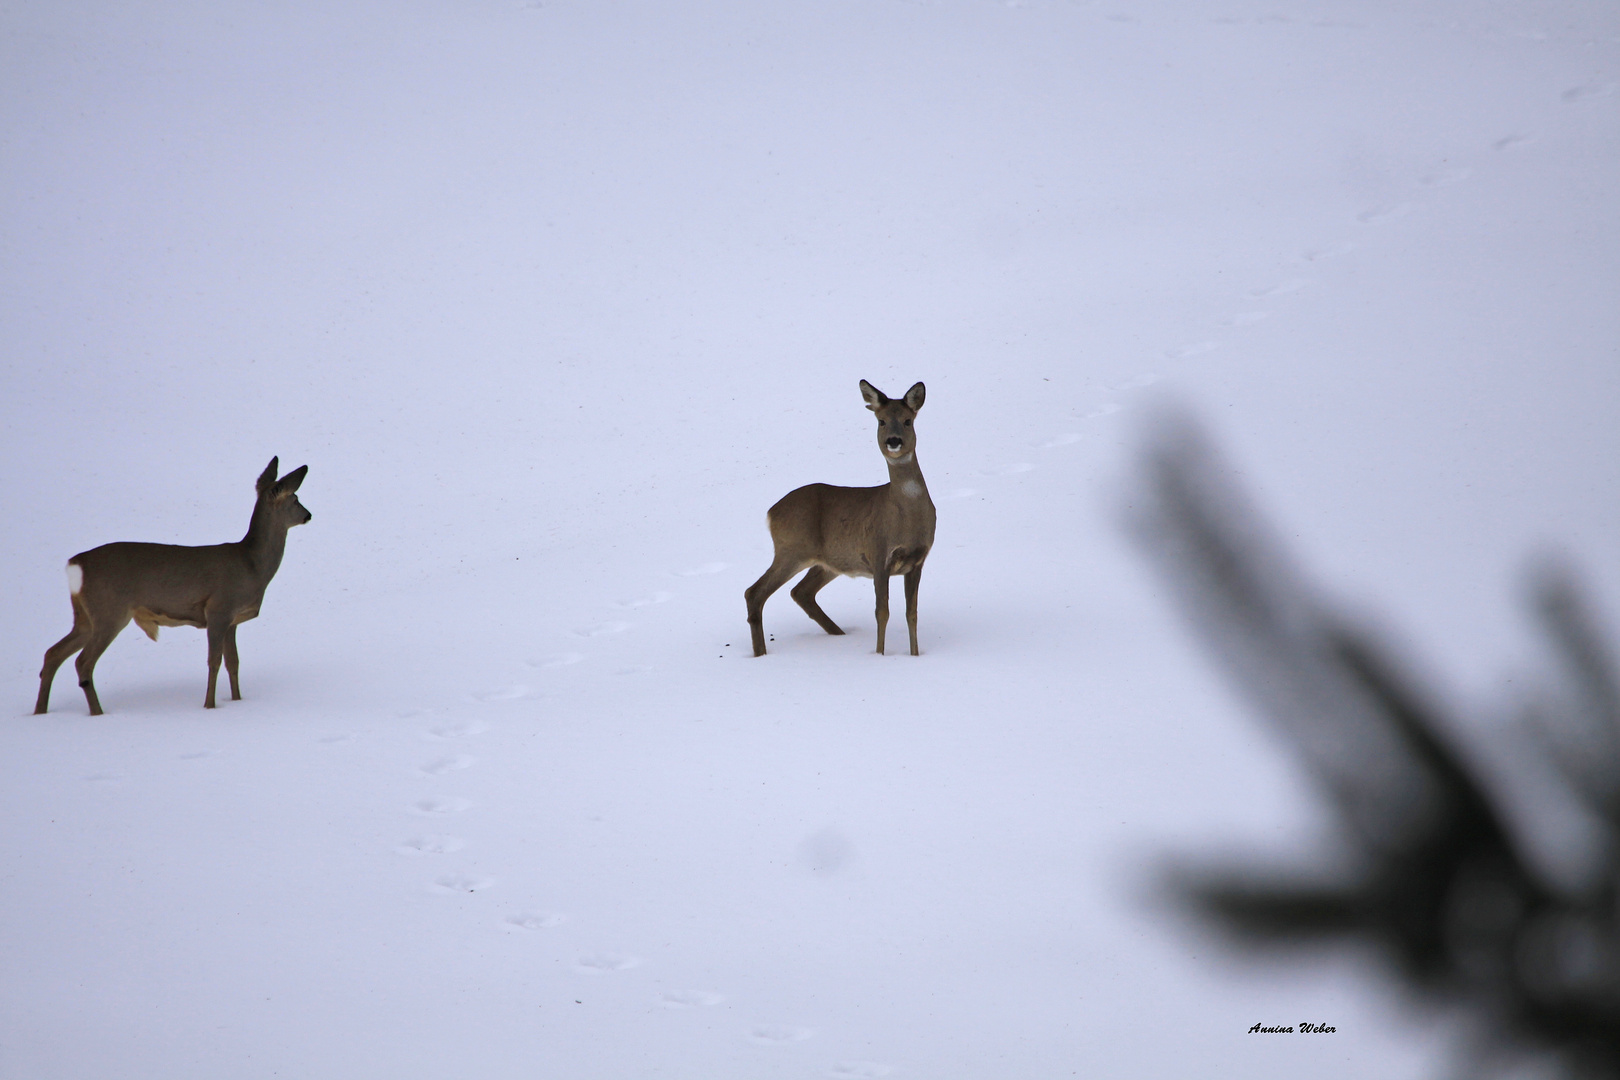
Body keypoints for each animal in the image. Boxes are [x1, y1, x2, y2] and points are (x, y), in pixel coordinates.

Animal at [34, 459, 312, 718]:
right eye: (295, 498)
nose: (308, 515)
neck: (252, 566)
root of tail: (75, 564)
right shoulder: (219, 609)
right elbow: (214, 662)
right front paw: (209, 706)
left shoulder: (232, 619)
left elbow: (233, 663)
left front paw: (237, 701)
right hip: (109, 611)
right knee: (82, 662)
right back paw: (97, 713)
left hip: (85, 616)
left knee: (52, 653)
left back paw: (40, 712)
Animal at [745, 382, 939, 660]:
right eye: (881, 421)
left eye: (908, 420)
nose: (893, 441)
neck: (906, 519)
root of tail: (771, 512)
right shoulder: (878, 554)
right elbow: (882, 612)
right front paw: (879, 655)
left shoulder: (918, 561)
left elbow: (911, 614)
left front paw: (915, 656)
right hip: (791, 549)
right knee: (755, 592)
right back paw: (761, 654)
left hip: (829, 560)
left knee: (801, 591)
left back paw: (838, 635)